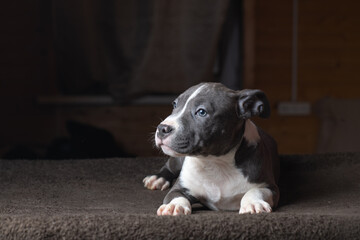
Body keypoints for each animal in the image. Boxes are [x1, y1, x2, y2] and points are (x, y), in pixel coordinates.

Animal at [143, 82, 278, 216]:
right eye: (175, 104)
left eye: (202, 112)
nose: (162, 128)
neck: (215, 162)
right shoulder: (179, 188)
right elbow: (176, 195)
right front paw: (174, 205)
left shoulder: (270, 187)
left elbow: (255, 191)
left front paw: (254, 203)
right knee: (170, 166)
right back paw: (157, 178)